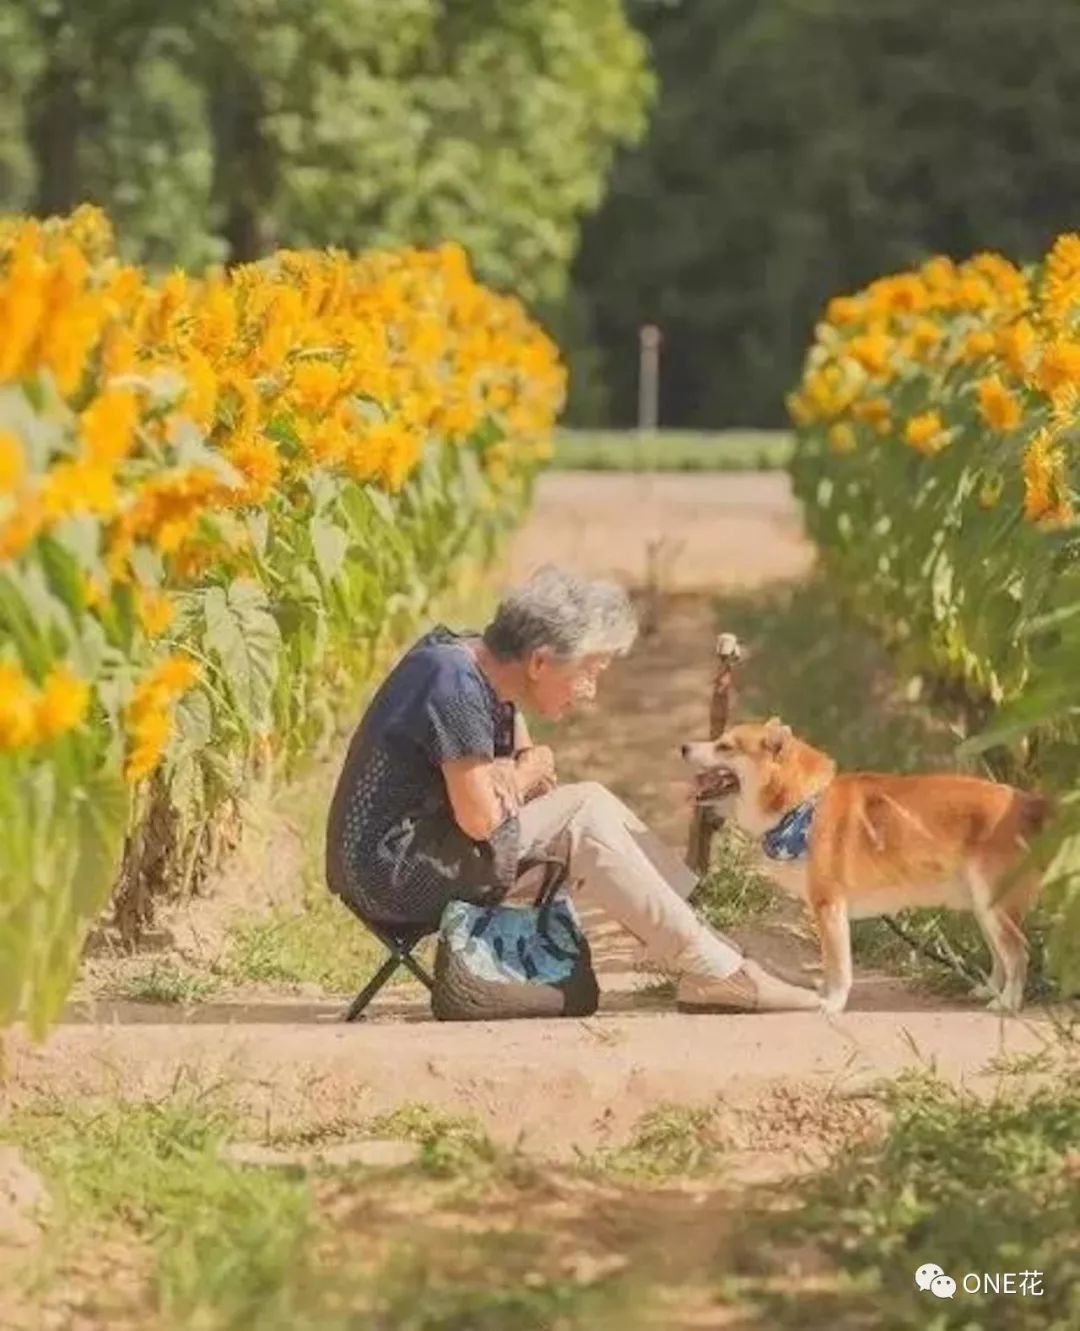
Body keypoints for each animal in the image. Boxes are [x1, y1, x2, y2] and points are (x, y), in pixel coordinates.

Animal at [681, 724, 1049, 1011]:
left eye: (725, 746)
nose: (684, 747)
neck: (802, 807)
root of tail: (1027, 802)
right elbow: (832, 964)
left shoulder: (830, 907)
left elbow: (839, 965)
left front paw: (833, 1002)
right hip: (984, 908)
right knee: (1000, 956)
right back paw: (990, 990)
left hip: (995, 908)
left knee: (1018, 954)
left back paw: (1007, 1002)